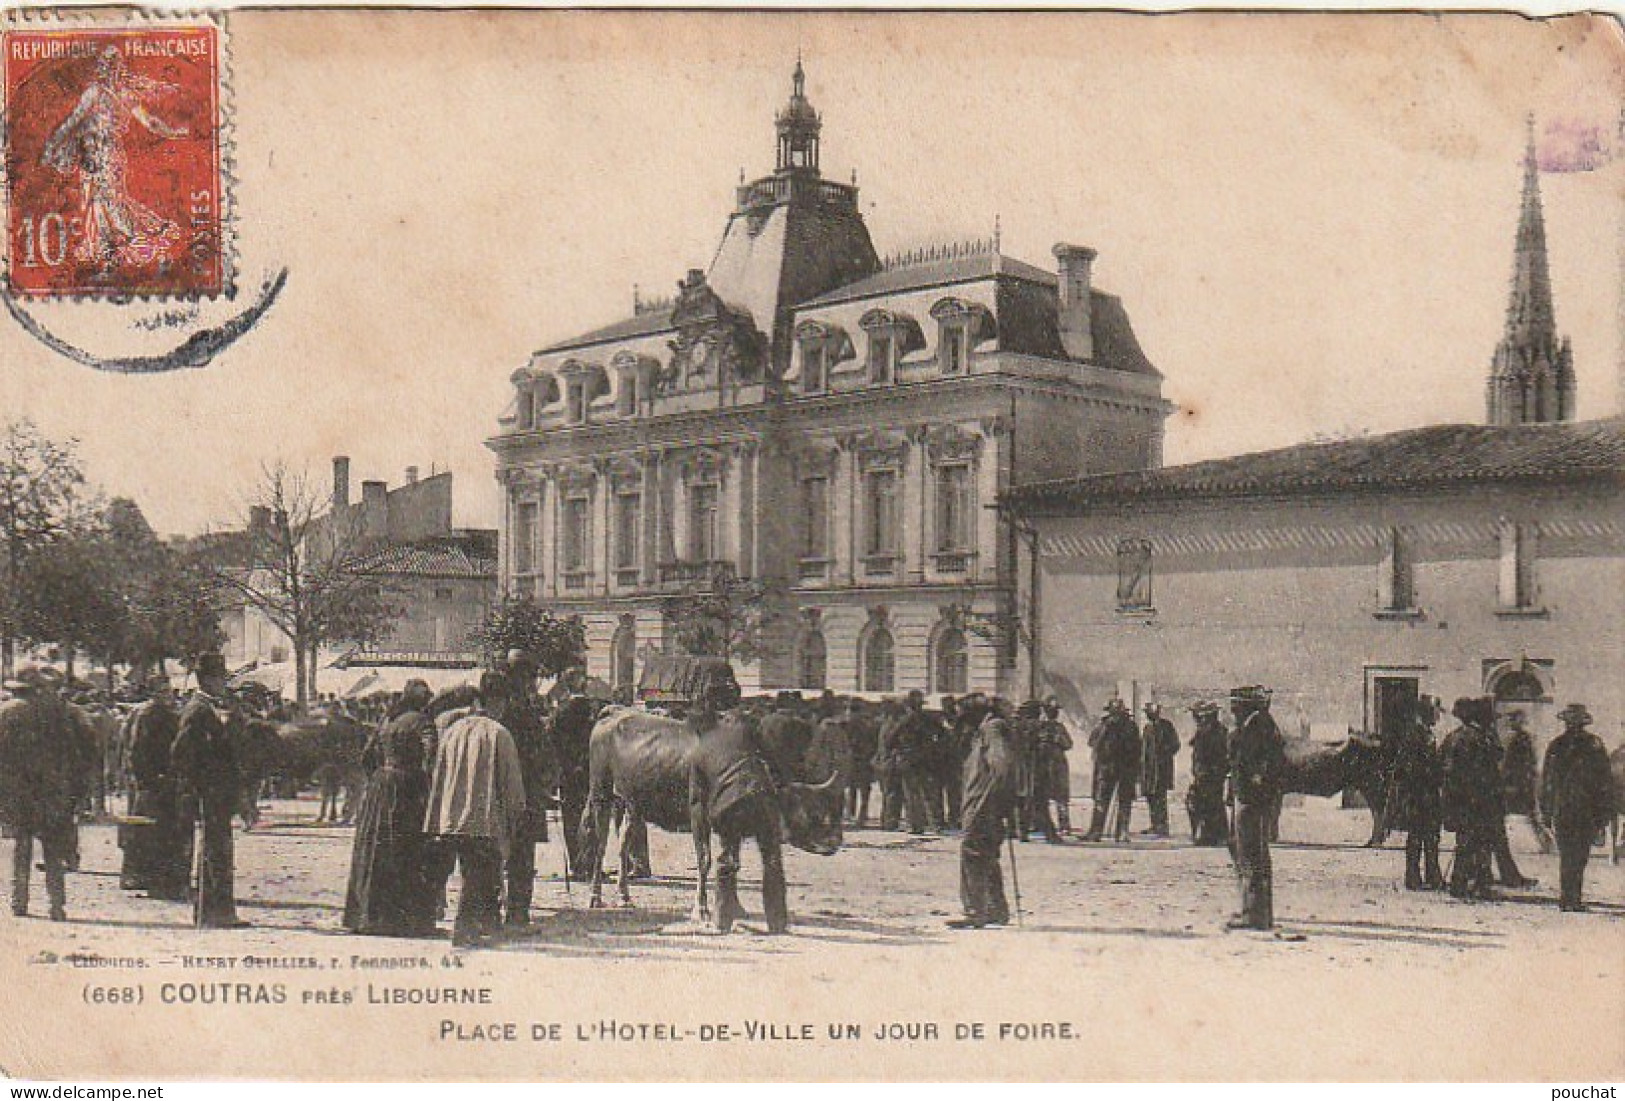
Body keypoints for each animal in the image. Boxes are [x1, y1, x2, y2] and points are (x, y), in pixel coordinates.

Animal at [581, 708, 838, 928]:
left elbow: (734, 862)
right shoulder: (698, 813)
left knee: (623, 845)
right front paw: (701, 910)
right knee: (600, 845)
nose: (832, 844)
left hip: (632, 804)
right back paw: (595, 897)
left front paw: (736, 908)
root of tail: (613, 713)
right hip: (601, 793)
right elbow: (704, 859)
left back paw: (624, 896)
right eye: (807, 813)